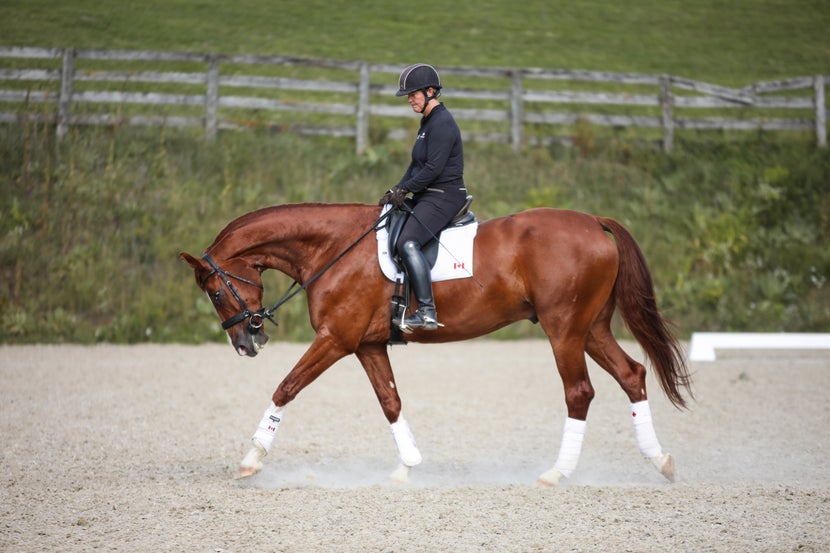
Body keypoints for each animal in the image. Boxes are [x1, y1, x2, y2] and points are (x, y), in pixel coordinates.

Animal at [182, 202, 696, 484]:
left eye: (214, 291)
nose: (247, 344)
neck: (332, 247)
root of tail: (592, 220)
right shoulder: (367, 345)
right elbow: (390, 401)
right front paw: (406, 467)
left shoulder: (335, 339)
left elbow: (286, 387)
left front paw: (250, 461)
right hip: (592, 329)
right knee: (632, 374)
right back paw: (661, 461)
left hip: (564, 329)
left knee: (579, 392)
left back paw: (557, 473)